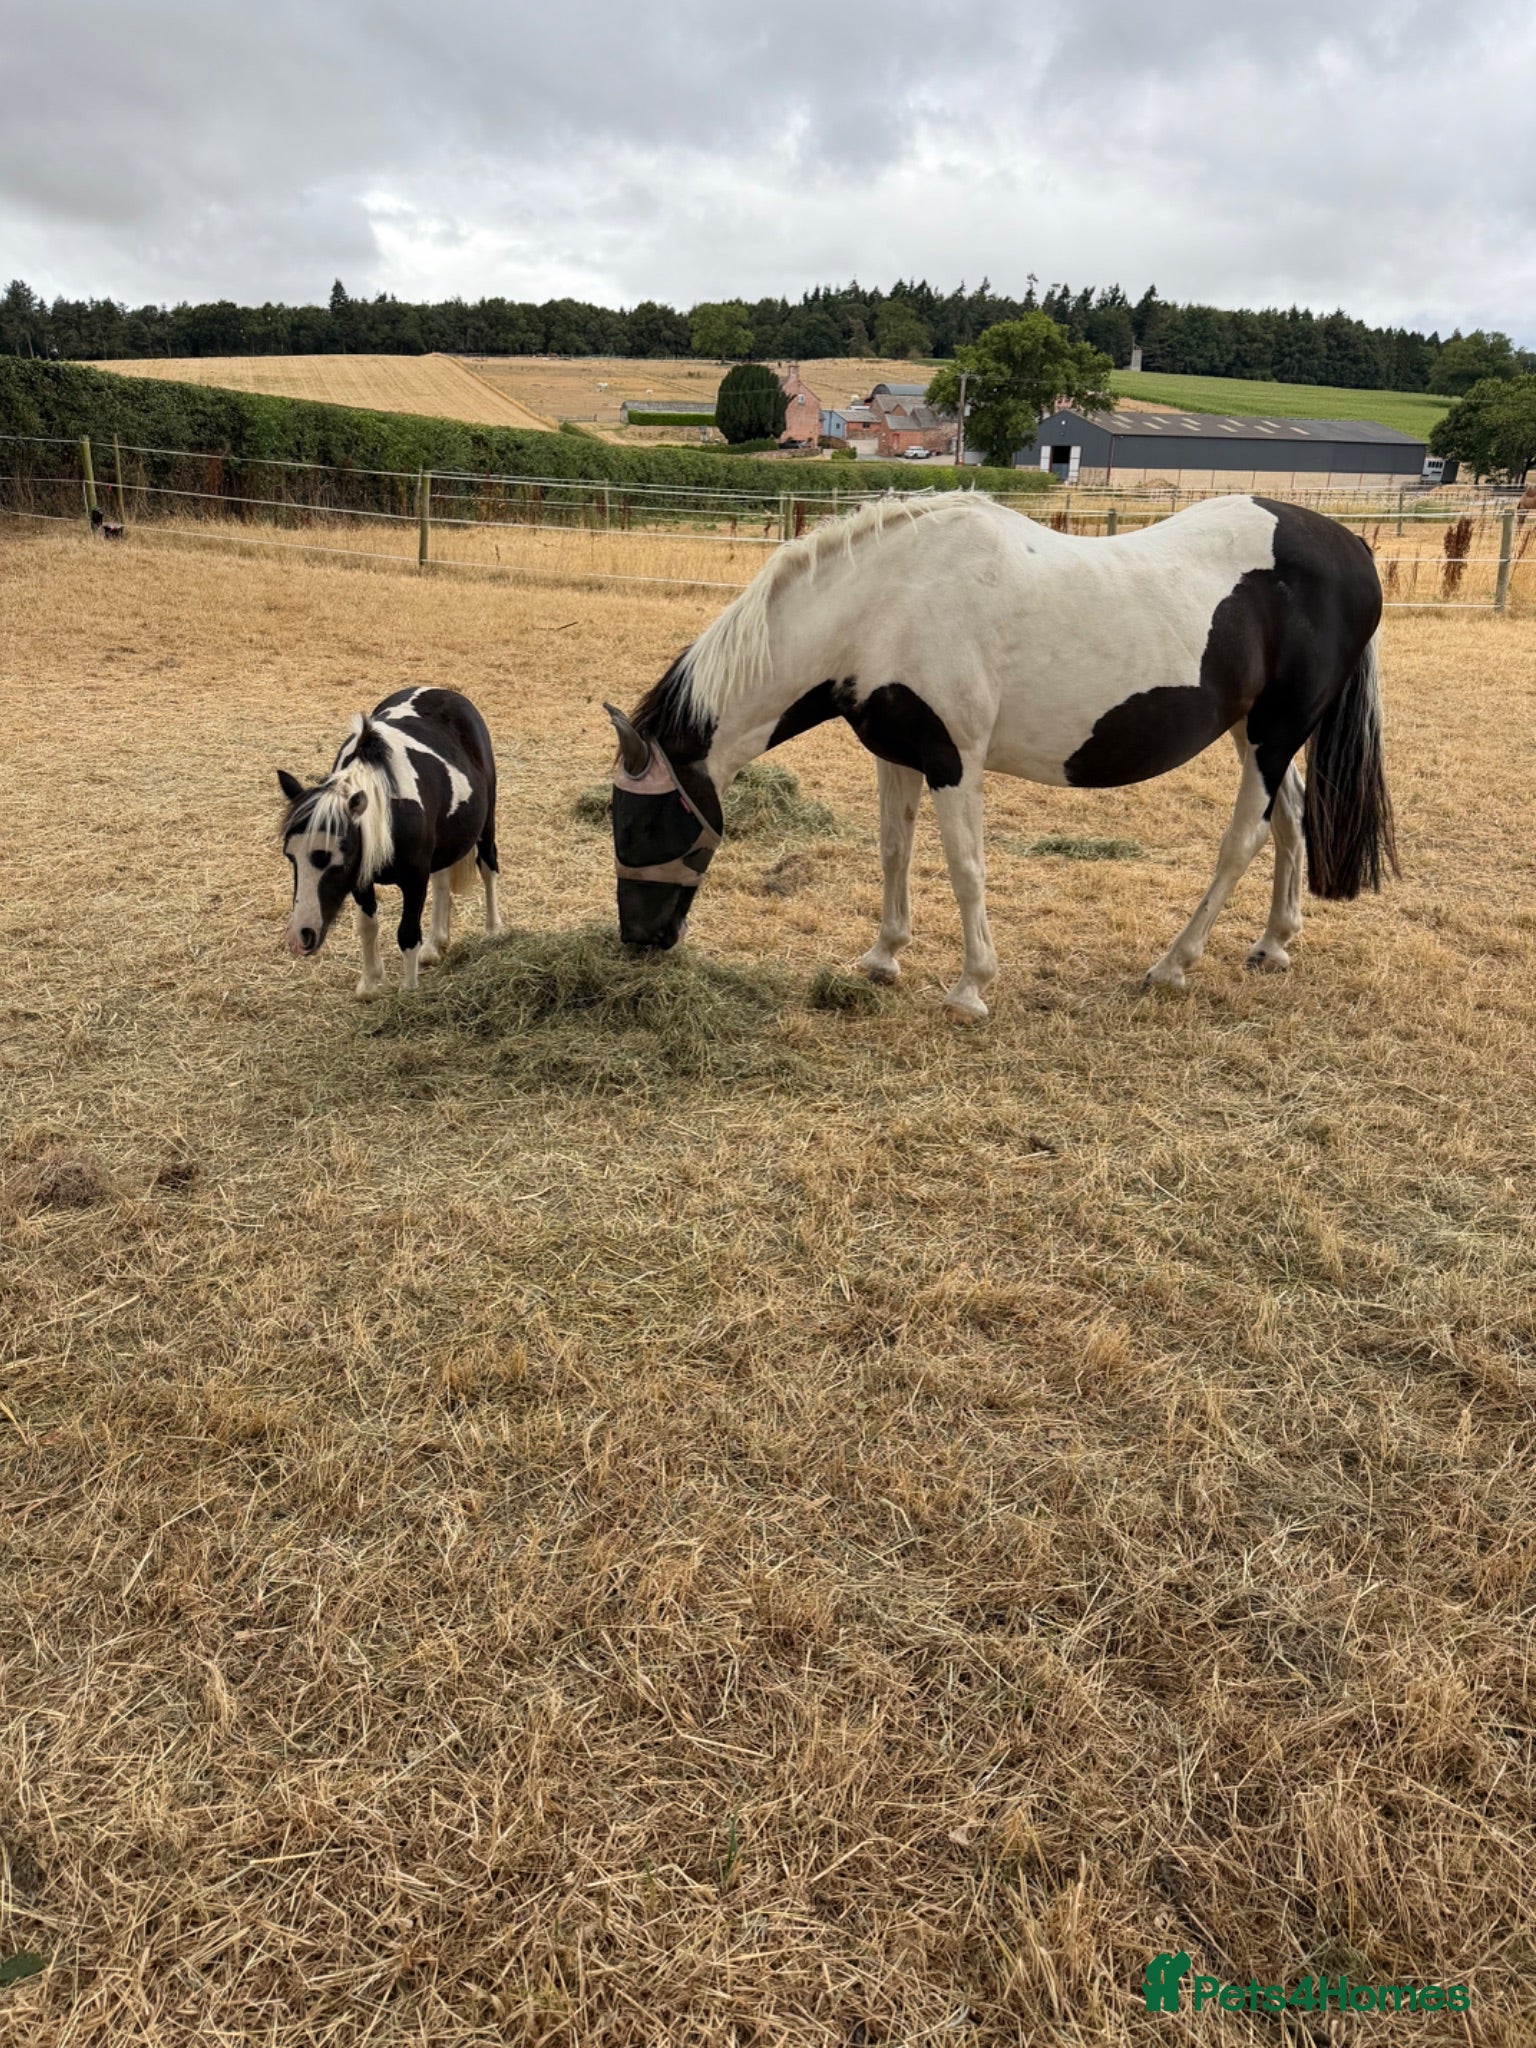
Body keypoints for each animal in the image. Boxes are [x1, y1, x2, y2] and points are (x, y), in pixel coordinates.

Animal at [277, 687, 501, 995]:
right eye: (291, 856)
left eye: (337, 861)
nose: (301, 936)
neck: (388, 813)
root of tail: (442, 691)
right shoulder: (361, 876)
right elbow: (368, 926)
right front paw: (370, 983)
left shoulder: (414, 878)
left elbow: (407, 933)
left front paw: (408, 991)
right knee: (442, 880)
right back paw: (435, 944)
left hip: (486, 823)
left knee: (488, 866)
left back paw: (493, 930)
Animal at [603, 492, 1396, 1016]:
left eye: (636, 824)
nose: (639, 939)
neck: (885, 603)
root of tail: (1353, 548)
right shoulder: (896, 755)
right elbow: (893, 850)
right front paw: (883, 957)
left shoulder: (954, 761)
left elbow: (965, 868)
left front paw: (971, 987)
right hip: (1256, 731)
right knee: (1291, 816)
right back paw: (1273, 945)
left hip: (1275, 731)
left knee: (1244, 840)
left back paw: (1173, 965)